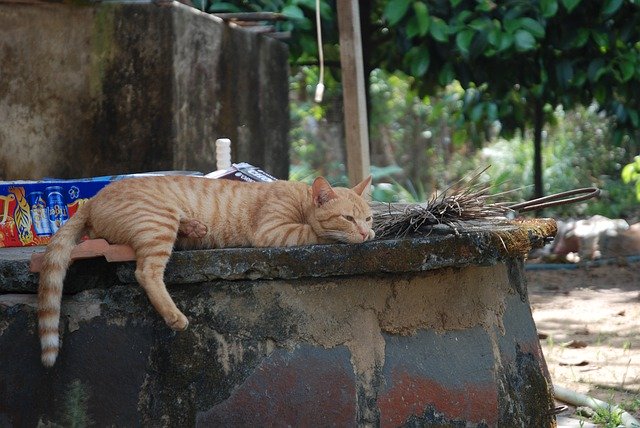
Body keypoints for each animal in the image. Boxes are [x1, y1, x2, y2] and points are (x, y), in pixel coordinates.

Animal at [36, 176, 376, 366]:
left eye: (369, 217)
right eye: (348, 218)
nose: (364, 231)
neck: (301, 199)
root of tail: (92, 200)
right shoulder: (273, 231)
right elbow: (316, 233)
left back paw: (194, 227)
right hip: (158, 222)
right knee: (145, 272)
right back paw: (175, 316)